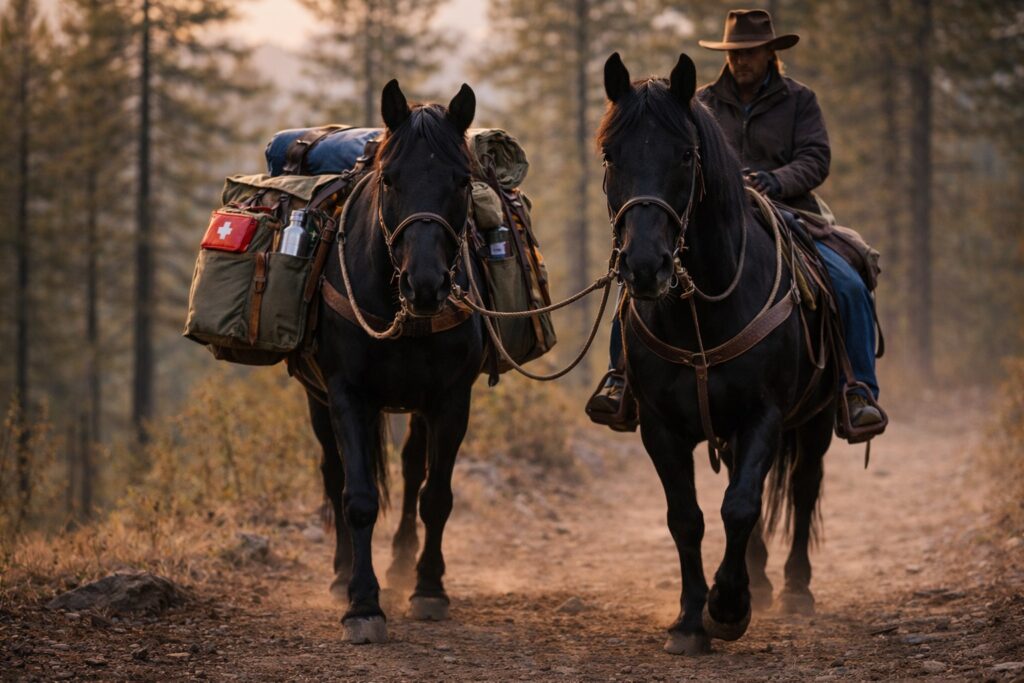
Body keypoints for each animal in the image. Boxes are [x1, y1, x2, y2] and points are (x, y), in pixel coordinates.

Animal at [305, 79, 485, 644]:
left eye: (462, 180)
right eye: (390, 178)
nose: (424, 285)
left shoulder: (451, 399)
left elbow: (436, 494)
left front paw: (429, 587)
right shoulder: (346, 392)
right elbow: (358, 496)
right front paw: (362, 603)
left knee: (411, 470)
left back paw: (405, 564)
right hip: (316, 399)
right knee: (333, 470)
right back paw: (341, 574)